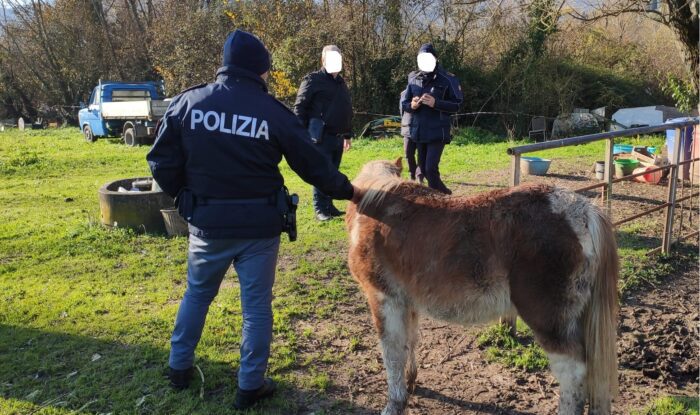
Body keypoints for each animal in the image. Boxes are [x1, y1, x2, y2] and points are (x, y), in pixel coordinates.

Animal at [346, 158, 616, 414]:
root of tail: (582, 211)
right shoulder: (407, 302)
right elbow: (409, 342)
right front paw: (411, 383)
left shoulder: (383, 298)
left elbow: (391, 352)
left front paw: (395, 403)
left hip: (549, 321)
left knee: (573, 373)